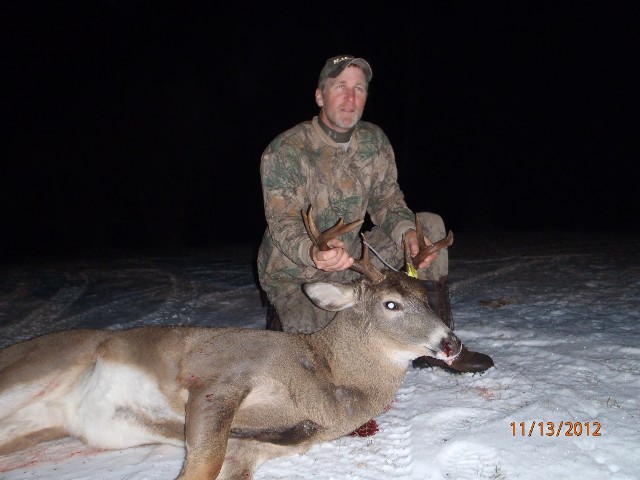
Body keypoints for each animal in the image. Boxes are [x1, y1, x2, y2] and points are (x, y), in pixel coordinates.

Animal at [0, 206, 461, 480]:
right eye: (391, 304)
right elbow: (199, 467)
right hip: (42, 362)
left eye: (426, 297)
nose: (452, 343)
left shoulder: (255, 448)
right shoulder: (221, 373)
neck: (325, 381)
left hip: (34, 427)